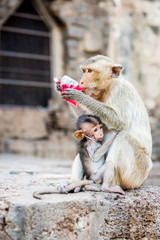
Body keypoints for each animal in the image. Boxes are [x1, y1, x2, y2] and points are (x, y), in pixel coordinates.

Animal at [56, 55, 152, 192]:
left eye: (89, 71)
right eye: (84, 71)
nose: (81, 82)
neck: (108, 87)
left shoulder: (119, 90)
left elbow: (119, 122)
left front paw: (79, 95)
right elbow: (87, 119)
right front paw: (61, 87)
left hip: (135, 174)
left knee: (123, 136)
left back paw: (105, 185)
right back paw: (74, 183)